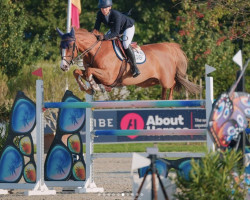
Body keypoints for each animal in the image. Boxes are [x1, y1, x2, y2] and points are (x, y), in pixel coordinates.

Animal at [56, 27, 199, 99]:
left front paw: (94, 87)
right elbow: (78, 72)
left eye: (70, 46)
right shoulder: (98, 75)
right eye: (60, 46)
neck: (96, 50)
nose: (63, 66)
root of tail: (169, 47)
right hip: (153, 81)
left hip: (166, 79)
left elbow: (89, 72)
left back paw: (169, 101)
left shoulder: (108, 77)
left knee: (173, 84)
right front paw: (85, 88)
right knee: (165, 88)